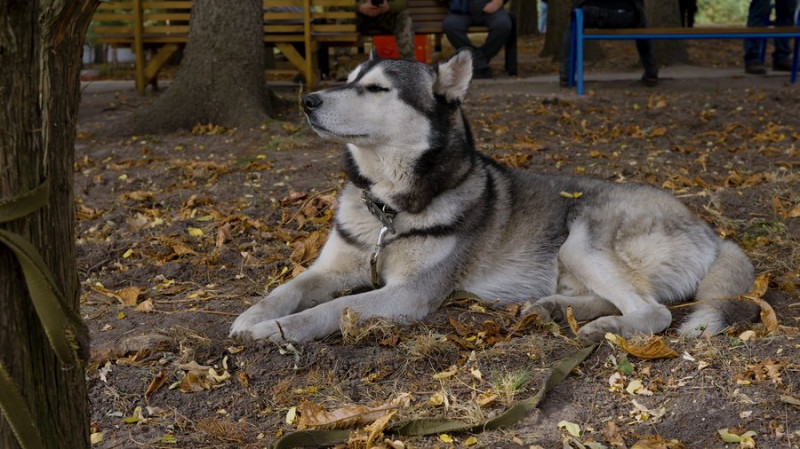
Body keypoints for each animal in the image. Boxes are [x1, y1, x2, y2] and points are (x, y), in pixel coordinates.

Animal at [228, 50, 760, 344]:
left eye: (376, 89)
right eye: (349, 78)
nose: (308, 101)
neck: (387, 208)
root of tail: (712, 232)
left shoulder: (407, 294)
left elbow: (328, 310)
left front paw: (274, 332)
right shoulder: (330, 268)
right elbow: (287, 290)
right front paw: (253, 316)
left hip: (581, 241)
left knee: (654, 311)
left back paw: (604, 329)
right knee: (618, 300)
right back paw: (554, 309)